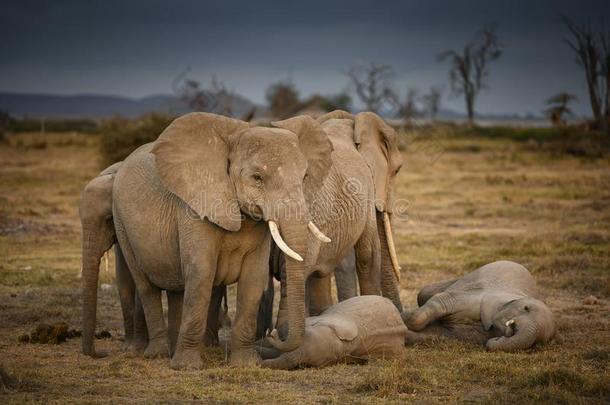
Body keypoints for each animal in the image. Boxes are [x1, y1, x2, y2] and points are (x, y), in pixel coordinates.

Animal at [81, 112, 332, 368]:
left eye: (305, 176)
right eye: (257, 178)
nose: (272, 334)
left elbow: (253, 279)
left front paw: (245, 364)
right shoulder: (195, 207)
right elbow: (201, 272)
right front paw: (187, 367)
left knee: (177, 290)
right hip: (124, 226)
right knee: (146, 286)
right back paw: (159, 354)